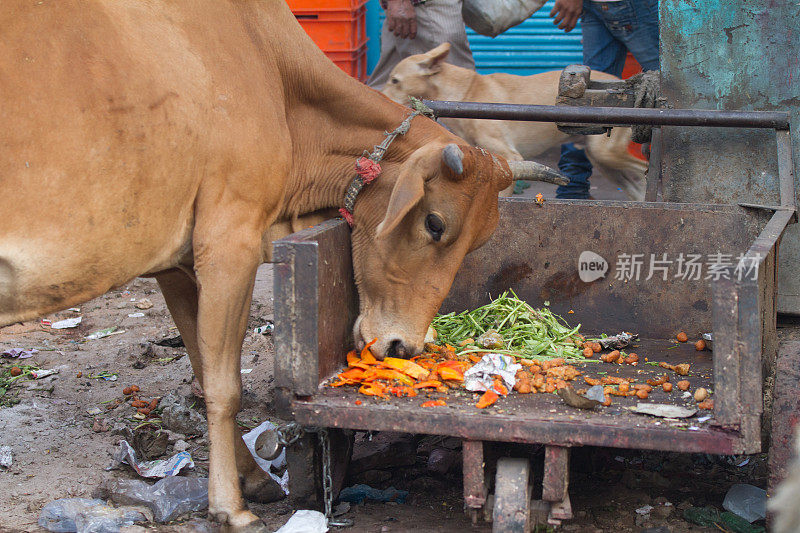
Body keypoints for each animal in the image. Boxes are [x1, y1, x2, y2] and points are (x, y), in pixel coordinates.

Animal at [1, 0, 564, 528]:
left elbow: (204, 370)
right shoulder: (230, 242)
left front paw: (252, 479)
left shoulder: (175, 265)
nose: (403, 346)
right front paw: (230, 506)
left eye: (478, 239)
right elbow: (226, 388)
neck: (274, 74)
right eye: (433, 223)